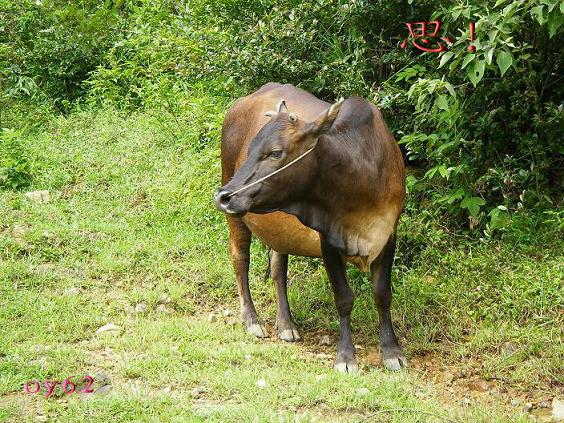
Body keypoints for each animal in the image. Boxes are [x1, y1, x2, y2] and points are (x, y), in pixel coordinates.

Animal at [215, 83, 406, 374]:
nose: (224, 196)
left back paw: (287, 325)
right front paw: (346, 357)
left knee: (277, 267)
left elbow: (382, 293)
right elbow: (344, 298)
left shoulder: (388, 233)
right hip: (235, 211)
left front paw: (392, 353)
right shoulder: (328, 240)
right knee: (240, 258)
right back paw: (252, 321)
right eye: (251, 149)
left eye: (275, 152)